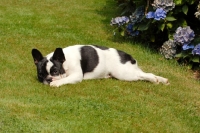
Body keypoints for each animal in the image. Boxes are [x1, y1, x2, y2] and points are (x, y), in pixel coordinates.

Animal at [31, 44, 169, 87]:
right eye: (40, 75)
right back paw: (162, 80)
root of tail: (128, 56)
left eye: (55, 72)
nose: (49, 79)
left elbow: (65, 79)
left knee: (144, 75)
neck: (65, 61)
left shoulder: (76, 75)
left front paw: (55, 83)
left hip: (124, 74)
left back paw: (154, 79)